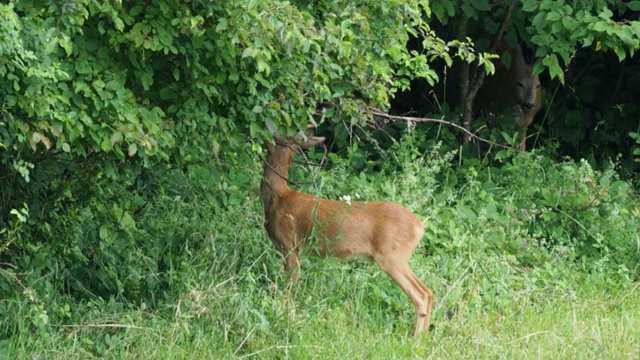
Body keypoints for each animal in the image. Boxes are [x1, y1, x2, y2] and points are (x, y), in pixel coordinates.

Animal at [260, 129, 436, 338]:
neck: (279, 199)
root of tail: (420, 227)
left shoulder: (290, 244)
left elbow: (291, 285)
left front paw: (288, 316)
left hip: (392, 256)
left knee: (421, 294)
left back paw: (416, 339)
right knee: (429, 292)